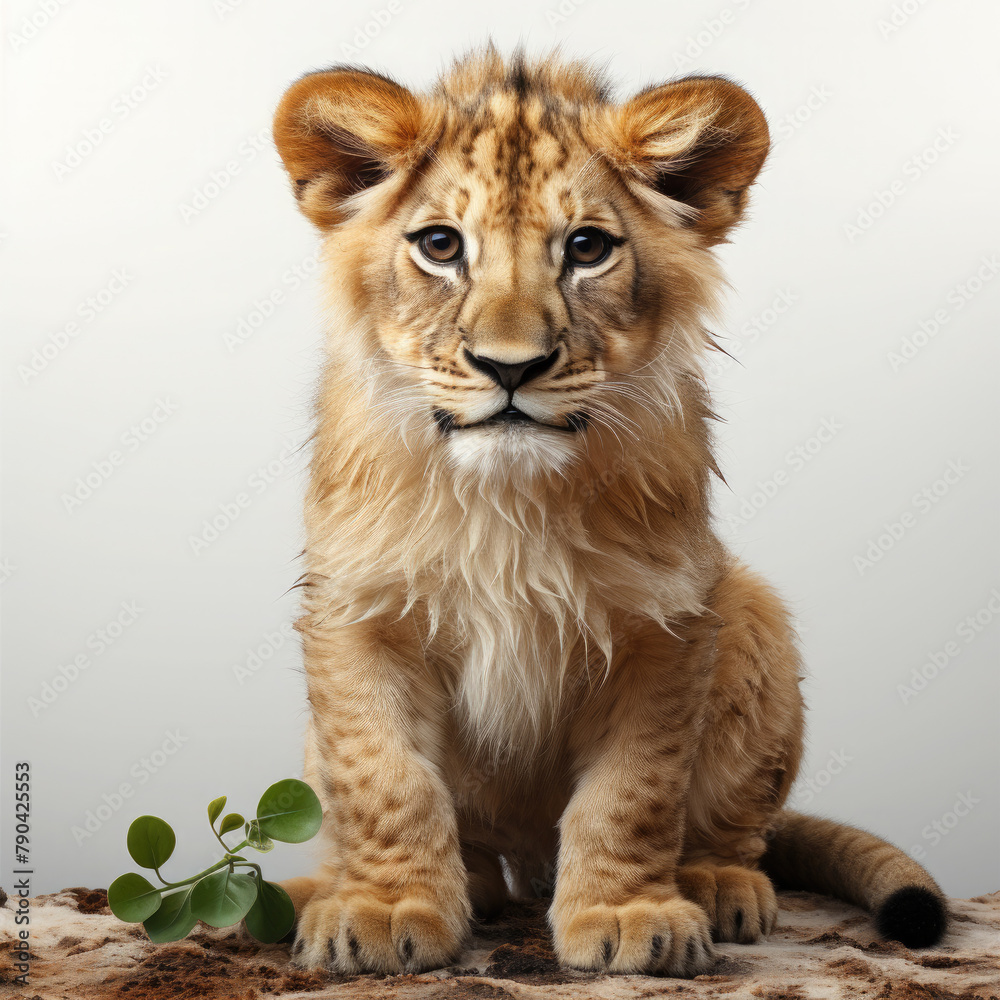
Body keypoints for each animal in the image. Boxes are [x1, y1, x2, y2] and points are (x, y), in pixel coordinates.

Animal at [269, 47, 947, 976]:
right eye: (441, 246)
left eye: (586, 249)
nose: (509, 366)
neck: (510, 501)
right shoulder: (357, 610)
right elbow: (383, 778)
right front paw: (385, 907)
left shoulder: (664, 621)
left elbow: (633, 793)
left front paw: (629, 917)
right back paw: (331, 892)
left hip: (754, 613)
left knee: (739, 829)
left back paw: (717, 885)